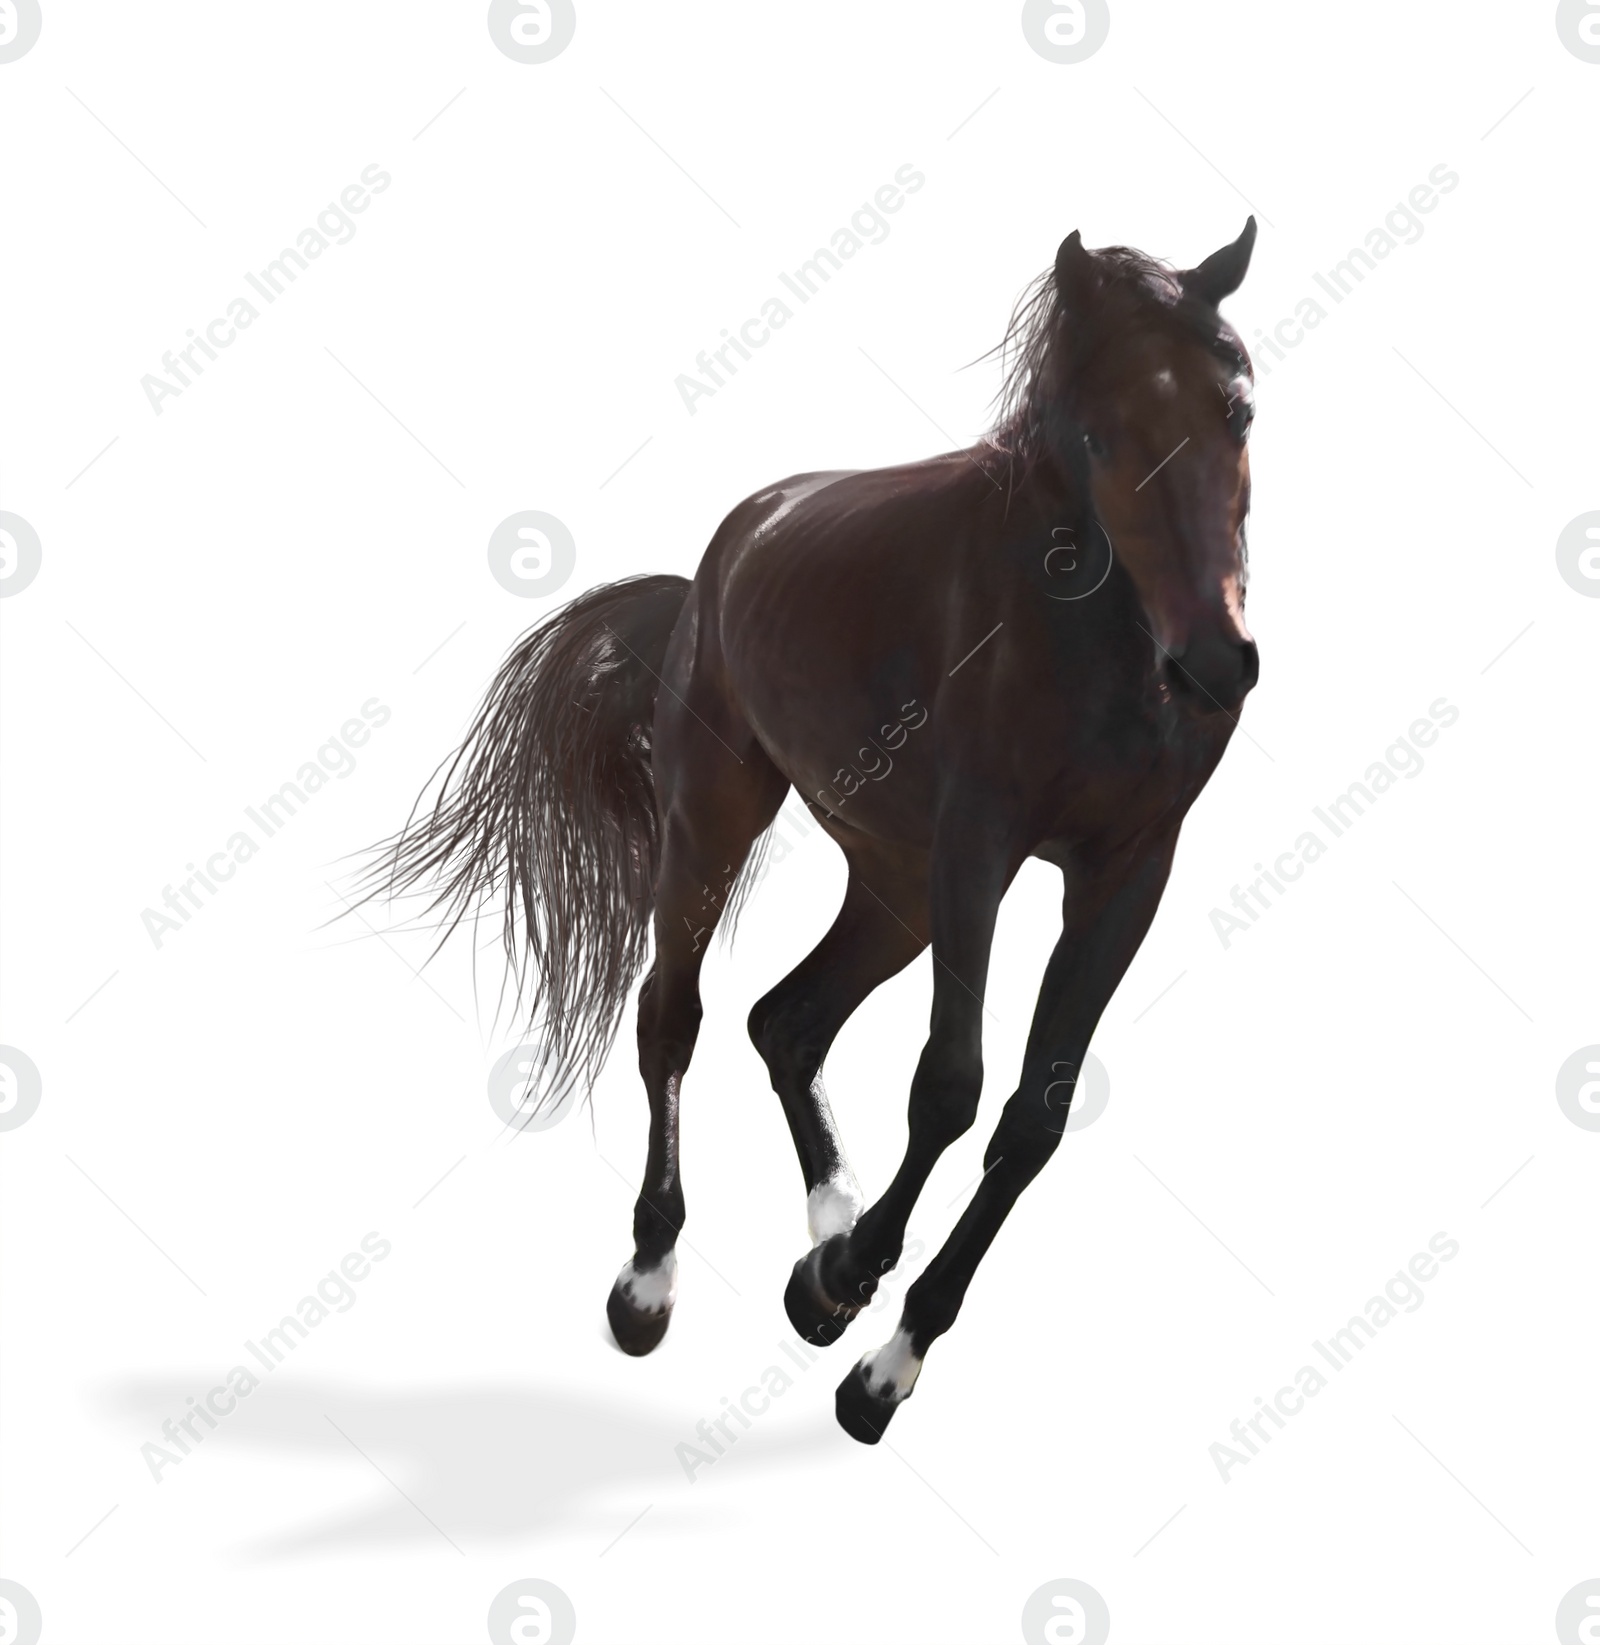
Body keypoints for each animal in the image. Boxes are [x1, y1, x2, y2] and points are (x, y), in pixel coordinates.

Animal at [374, 218, 1262, 1441]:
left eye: (1239, 411)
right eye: (1099, 431)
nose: (1216, 664)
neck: (1089, 640)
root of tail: (716, 561)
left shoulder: (1127, 875)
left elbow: (1032, 1120)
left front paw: (881, 1347)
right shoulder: (978, 852)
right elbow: (949, 1083)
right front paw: (848, 1290)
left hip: (892, 881)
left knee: (786, 1019)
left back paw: (829, 1216)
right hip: (721, 816)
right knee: (676, 1015)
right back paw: (653, 1277)